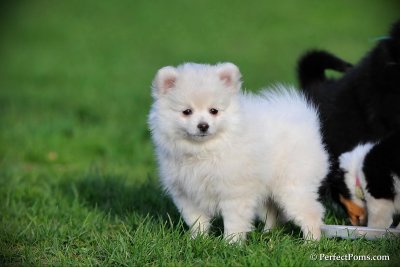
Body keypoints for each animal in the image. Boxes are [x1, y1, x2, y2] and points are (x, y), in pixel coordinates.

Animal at [148, 62, 328, 243]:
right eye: (186, 112)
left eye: (214, 110)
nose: (203, 125)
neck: (204, 150)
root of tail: (304, 118)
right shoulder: (186, 193)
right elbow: (196, 220)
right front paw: (197, 240)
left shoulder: (234, 191)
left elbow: (234, 221)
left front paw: (231, 243)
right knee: (272, 213)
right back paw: (268, 234)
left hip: (293, 186)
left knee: (311, 212)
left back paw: (311, 242)